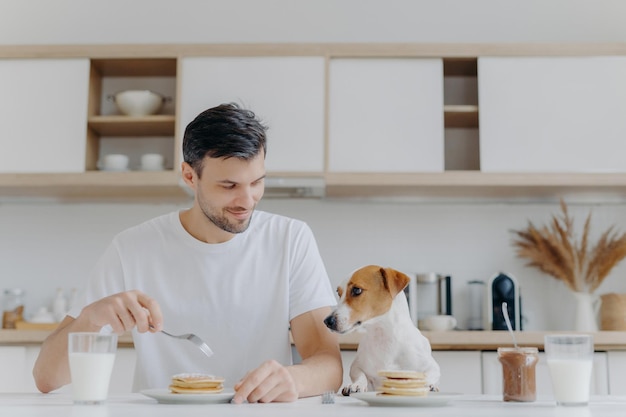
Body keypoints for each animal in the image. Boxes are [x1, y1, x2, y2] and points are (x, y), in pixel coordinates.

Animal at [322, 264, 438, 394]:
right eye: (339, 293)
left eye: (357, 290)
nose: (327, 321)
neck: (382, 334)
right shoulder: (356, 366)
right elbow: (360, 375)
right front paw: (356, 385)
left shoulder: (432, 367)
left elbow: (423, 377)